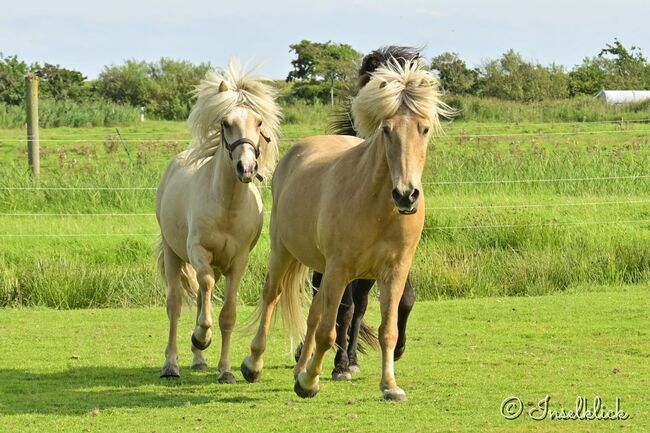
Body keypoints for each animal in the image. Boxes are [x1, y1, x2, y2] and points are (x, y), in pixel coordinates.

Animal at [158, 60, 280, 382]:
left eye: (259, 123)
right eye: (226, 123)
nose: (246, 167)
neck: (227, 206)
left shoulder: (238, 262)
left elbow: (228, 314)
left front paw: (225, 370)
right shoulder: (198, 252)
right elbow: (205, 289)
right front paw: (201, 336)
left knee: (203, 297)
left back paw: (200, 360)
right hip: (174, 254)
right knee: (176, 304)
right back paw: (172, 364)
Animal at [240, 55, 448, 400]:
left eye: (424, 128)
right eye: (387, 130)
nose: (406, 195)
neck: (377, 208)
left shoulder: (394, 270)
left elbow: (387, 330)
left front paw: (390, 386)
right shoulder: (340, 269)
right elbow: (330, 330)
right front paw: (312, 382)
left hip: (323, 269)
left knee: (313, 313)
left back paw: (299, 368)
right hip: (284, 251)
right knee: (273, 295)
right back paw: (254, 364)